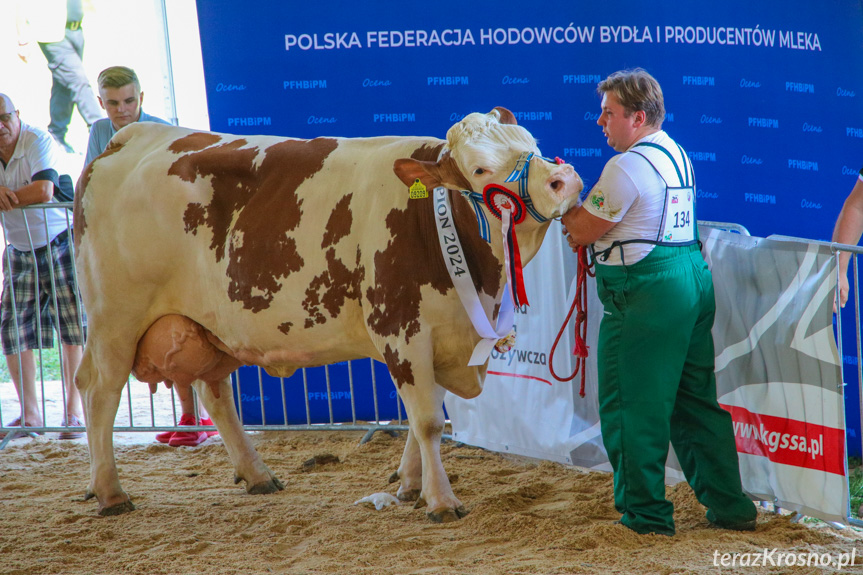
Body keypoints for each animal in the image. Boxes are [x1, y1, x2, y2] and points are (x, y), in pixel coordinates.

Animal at [74, 107, 584, 520]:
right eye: (479, 168)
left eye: (531, 144)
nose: (563, 181)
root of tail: (130, 137)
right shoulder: (401, 330)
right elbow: (427, 421)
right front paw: (441, 501)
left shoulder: (443, 331)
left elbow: (425, 417)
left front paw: (410, 485)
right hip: (114, 321)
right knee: (99, 391)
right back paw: (110, 494)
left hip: (207, 325)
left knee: (213, 391)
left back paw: (257, 475)